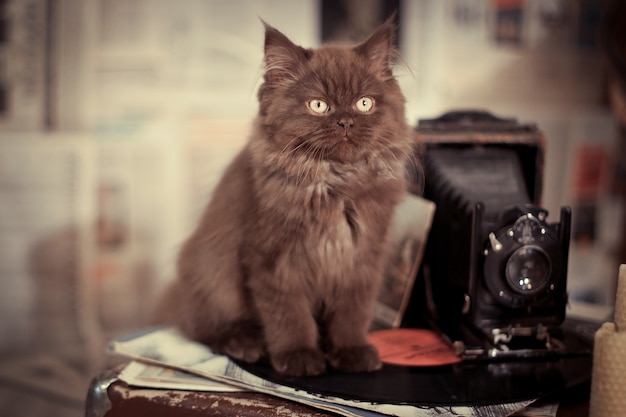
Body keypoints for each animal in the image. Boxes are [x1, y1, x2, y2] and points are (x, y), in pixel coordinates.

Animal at [156, 17, 412, 376]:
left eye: (364, 103)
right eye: (318, 105)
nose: (346, 121)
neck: (334, 183)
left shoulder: (363, 258)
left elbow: (352, 312)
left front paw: (352, 351)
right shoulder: (273, 259)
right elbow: (288, 314)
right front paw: (299, 356)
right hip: (213, 273)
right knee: (202, 326)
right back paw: (245, 343)